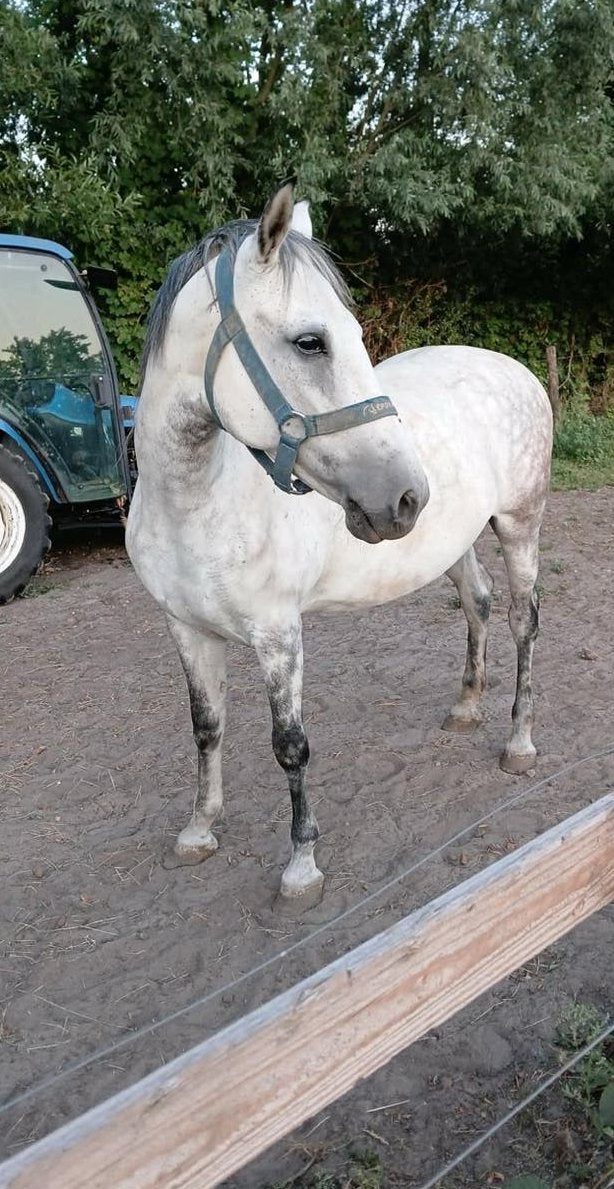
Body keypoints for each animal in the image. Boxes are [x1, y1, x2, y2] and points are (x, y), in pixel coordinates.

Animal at [126, 183, 552, 904]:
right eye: (310, 342)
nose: (406, 495)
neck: (194, 502)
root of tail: (517, 370)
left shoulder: (278, 634)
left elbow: (289, 745)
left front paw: (302, 863)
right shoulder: (185, 627)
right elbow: (207, 727)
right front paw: (200, 829)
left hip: (520, 524)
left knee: (524, 621)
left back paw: (518, 741)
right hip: (455, 544)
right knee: (478, 604)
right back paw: (466, 707)